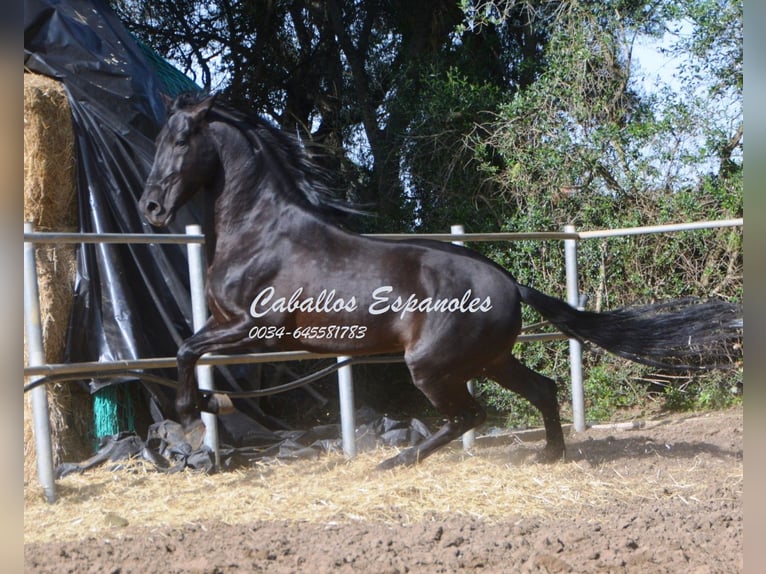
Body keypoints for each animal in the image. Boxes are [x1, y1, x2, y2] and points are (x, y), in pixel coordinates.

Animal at [140, 94, 744, 470]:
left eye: (182, 139)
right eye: (159, 138)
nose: (150, 208)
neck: (262, 233)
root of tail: (510, 284)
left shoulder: (254, 328)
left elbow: (186, 350)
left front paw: (200, 411)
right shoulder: (229, 324)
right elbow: (188, 349)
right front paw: (208, 406)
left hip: (432, 367)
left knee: (471, 415)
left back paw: (397, 459)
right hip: (488, 360)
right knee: (540, 391)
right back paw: (548, 454)